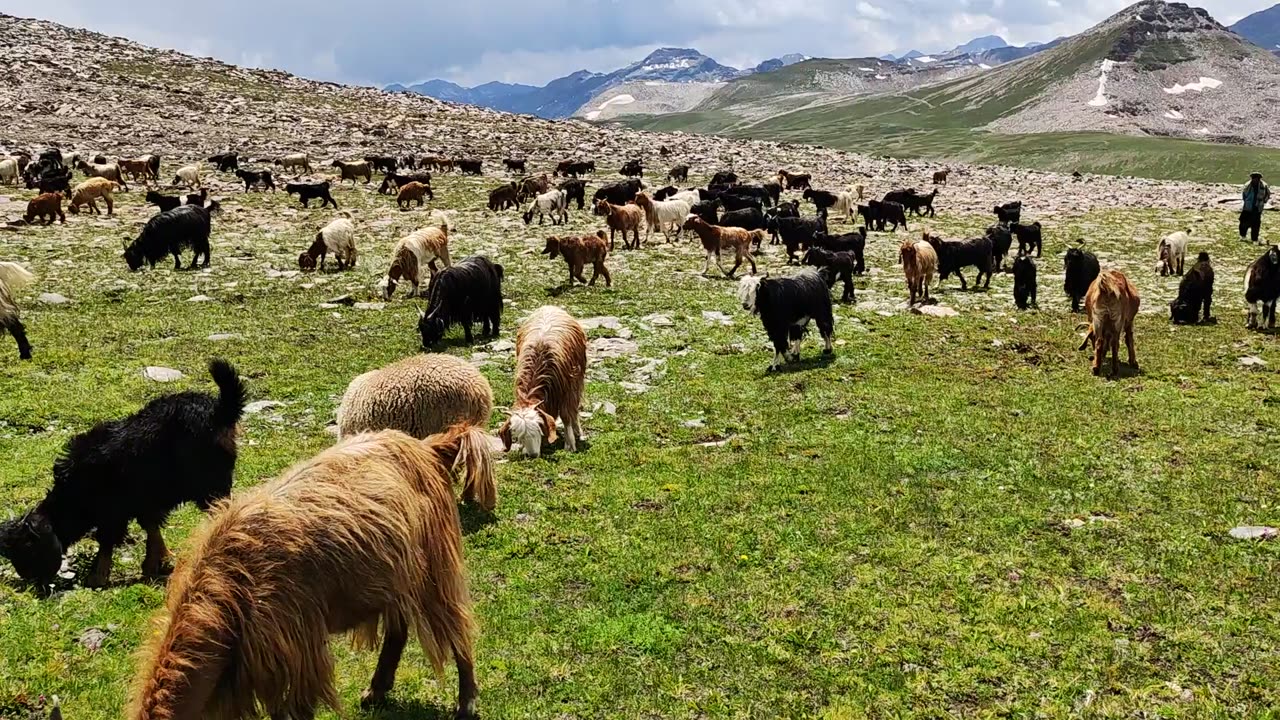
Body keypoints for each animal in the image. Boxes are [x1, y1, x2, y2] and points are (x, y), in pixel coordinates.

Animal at [0, 358, 243, 589]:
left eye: (28, 548)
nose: (33, 581)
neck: (73, 494)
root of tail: (220, 411)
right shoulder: (144, 503)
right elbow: (152, 530)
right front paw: (155, 564)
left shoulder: (113, 510)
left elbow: (107, 540)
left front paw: (97, 577)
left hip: (209, 483)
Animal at [128, 422, 488, 717]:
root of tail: (425, 447)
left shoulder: (295, 650)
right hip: (395, 575)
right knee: (398, 630)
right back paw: (375, 691)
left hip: (436, 562)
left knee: (457, 624)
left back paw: (466, 703)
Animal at [496, 303, 586, 453]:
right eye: (518, 435)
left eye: (538, 428)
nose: (532, 455)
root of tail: (549, 306)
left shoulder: (568, 389)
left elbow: (566, 414)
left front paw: (570, 444)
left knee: (575, 407)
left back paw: (577, 431)